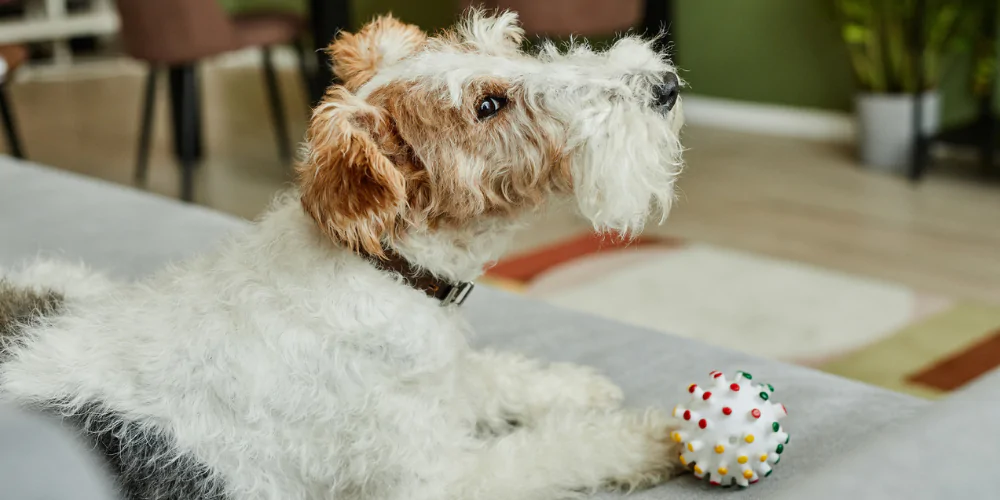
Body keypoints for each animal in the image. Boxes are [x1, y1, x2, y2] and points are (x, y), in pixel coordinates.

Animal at [0, 8, 684, 500]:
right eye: (488, 105)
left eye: (508, 46)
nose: (666, 85)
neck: (381, 268)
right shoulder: (430, 479)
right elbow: (548, 450)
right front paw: (653, 437)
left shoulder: (437, 382)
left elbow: (487, 375)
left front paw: (578, 387)